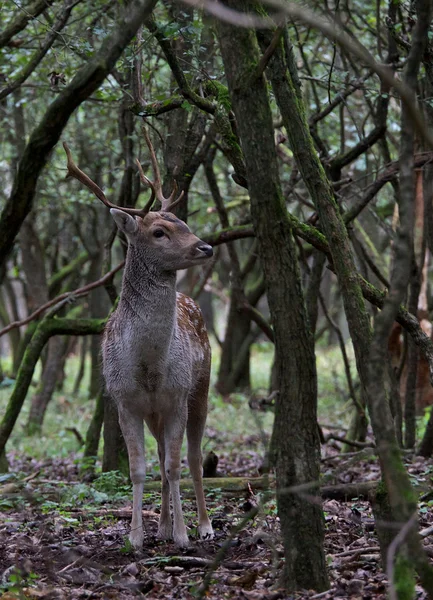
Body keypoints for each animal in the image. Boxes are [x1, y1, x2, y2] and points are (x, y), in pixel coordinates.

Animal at [62, 131, 214, 548]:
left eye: (184, 221)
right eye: (159, 232)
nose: (206, 247)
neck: (148, 366)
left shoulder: (176, 395)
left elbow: (176, 466)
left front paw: (183, 535)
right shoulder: (124, 400)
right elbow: (139, 469)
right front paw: (136, 536)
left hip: (201, 385)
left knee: (195, 457)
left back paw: (204, 525)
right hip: (155, 412)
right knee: (161, 454)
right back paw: (160, 525)